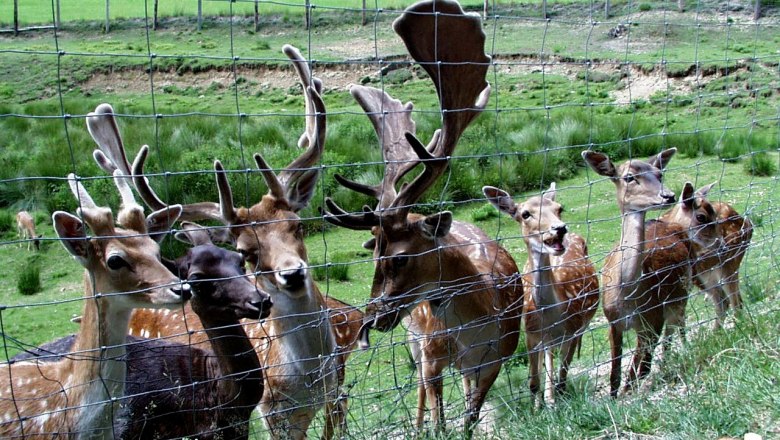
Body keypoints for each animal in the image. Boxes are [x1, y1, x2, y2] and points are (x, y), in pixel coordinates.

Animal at [320, 0, 528, 434]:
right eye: (373, 253)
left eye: (400, 257)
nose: (370, 320)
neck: (476, 327)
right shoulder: (432, 357)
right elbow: (439, 417)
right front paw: (431, 427)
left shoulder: (499, 356)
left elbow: (470, 418)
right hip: (416, 343)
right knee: (417, 387)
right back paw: (416, 425)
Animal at [482, 181, 604, 406]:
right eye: (525, 214)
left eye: (559, 208)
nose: (559, 228)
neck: (552, 316)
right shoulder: (530, 334)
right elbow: (533, 380)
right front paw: (537, 406)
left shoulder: (571, 330)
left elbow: (563, 371)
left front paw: (558, 397)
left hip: (581, 325)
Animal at [580, 149, 692, 398]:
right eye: (629, 177)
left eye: (660, 173)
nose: (668, 196)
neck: (628, 299)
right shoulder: (613, 321)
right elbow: (615, 375)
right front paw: (614, 397)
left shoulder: (653, 318)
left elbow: (638, 371)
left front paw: (630, 395)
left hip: (681, 295)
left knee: (676, 328)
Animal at [660, 180, 756, 328]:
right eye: (701, 217)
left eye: (715, 216)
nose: (722, 247)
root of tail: (747, 223)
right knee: (724, 300)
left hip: (729, 264)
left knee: (734, 302)